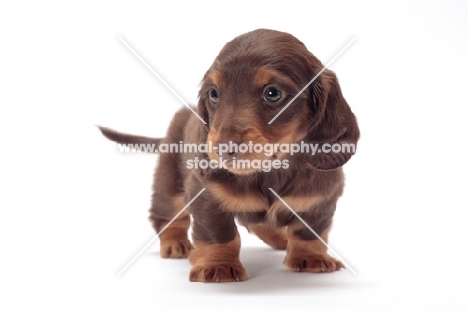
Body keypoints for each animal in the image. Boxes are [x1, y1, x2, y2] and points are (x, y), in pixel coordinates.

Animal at [100, 28, 360, 282]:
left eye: (272, 93)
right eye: (214, 94)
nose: (223, 148)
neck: (270, 172)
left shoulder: (321, 198)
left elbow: (309, 230)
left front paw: (311, 257)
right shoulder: (206, 194)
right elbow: (219, 234)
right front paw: (218, 265)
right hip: (168, 182)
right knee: (168, 216)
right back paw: (176, 243)